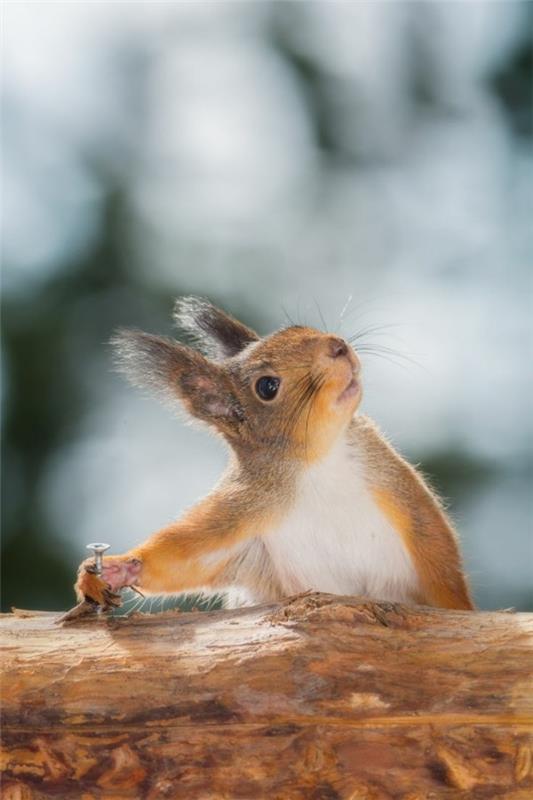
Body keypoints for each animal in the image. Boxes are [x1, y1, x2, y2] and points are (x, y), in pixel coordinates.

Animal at [76, 296, 474, 616]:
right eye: (267, 387)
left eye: (297, 328)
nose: (337, 346)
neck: (318, 463)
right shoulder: (244, 507)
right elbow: (183, 556)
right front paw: (116, 568)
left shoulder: (393, 482)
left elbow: (438, 555)